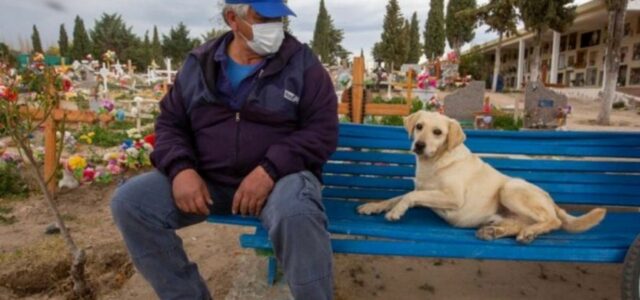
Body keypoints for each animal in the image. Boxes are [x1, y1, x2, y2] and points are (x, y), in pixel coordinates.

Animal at [358, 110, 608, 244]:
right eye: (419, 126)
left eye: (437, 132)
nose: (419, 145)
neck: (434, 163)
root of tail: (551, 200)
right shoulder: (423, 190)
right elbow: (398, 196)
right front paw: (373, 206)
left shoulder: (453, 198)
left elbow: (408, 197)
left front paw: (395, 212)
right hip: (506, 213)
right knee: (521, 224)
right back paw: (497, 232)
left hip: (510, 188)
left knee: (553, 222)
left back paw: (528, 232)